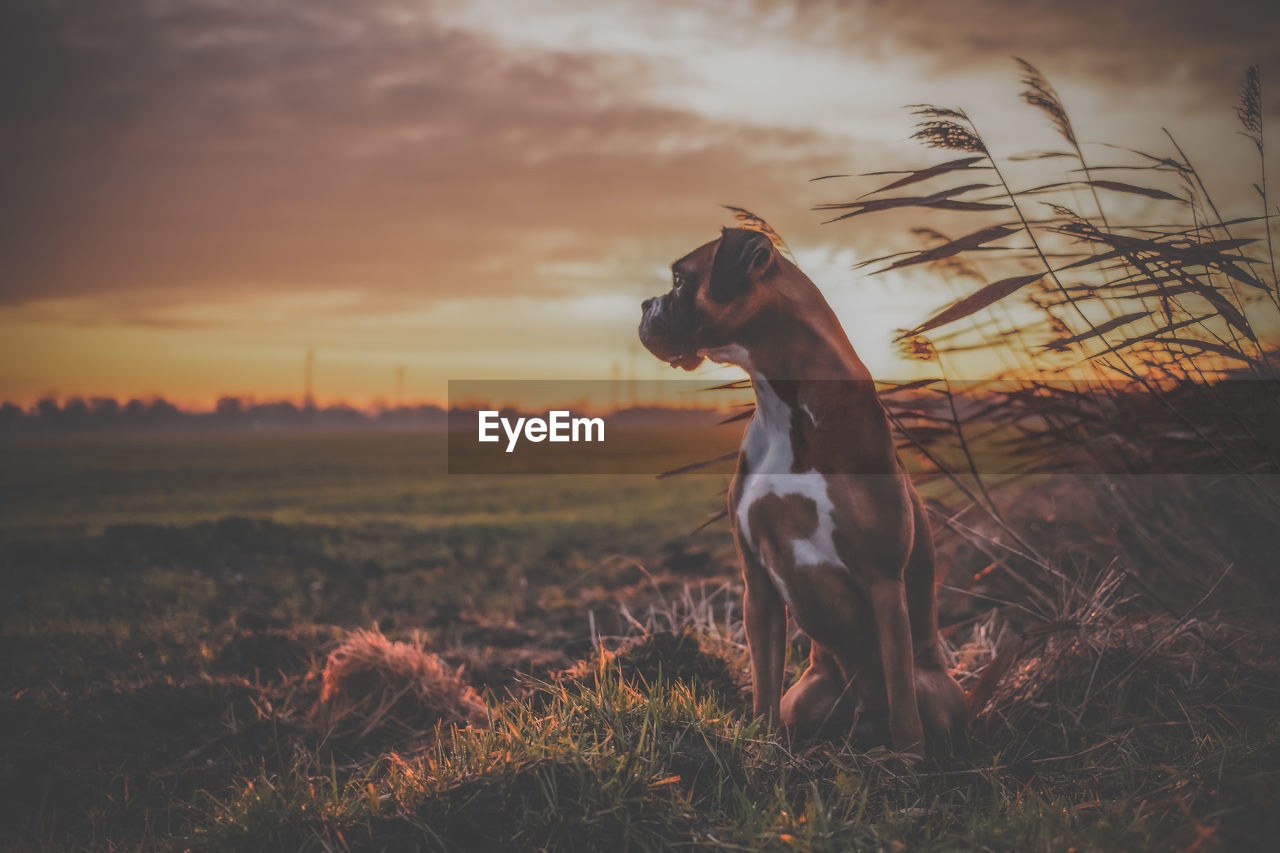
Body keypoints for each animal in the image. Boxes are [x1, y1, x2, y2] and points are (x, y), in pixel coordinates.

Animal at [634, 227, 962, 758]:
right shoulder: (758, 585)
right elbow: (763, 689)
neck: (786, 404)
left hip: (933, 683)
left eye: (680, 280)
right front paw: (761, 752)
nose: (646, 305)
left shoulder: (883, 579)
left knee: (907, 698)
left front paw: (908, 766)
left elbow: (904, 708)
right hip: (807, 695)